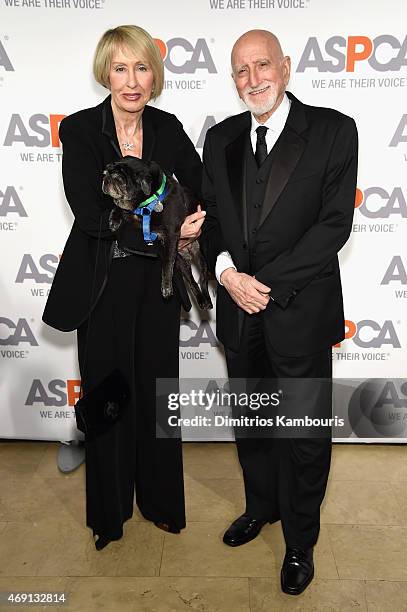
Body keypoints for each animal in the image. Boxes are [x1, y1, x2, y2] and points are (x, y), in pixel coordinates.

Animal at [102, 157, 214, 310]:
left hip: (200, 256)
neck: (147, 201)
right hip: (181, 262)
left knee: (202, 278)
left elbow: (166, 265)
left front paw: (166, 288)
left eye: (118, 178)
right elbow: (120, 208)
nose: (105, 178)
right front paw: (114, 219)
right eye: (106, 172)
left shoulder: (171, 235)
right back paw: (201, 300)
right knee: (192, 282)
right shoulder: (135, 213)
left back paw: (206, 300)